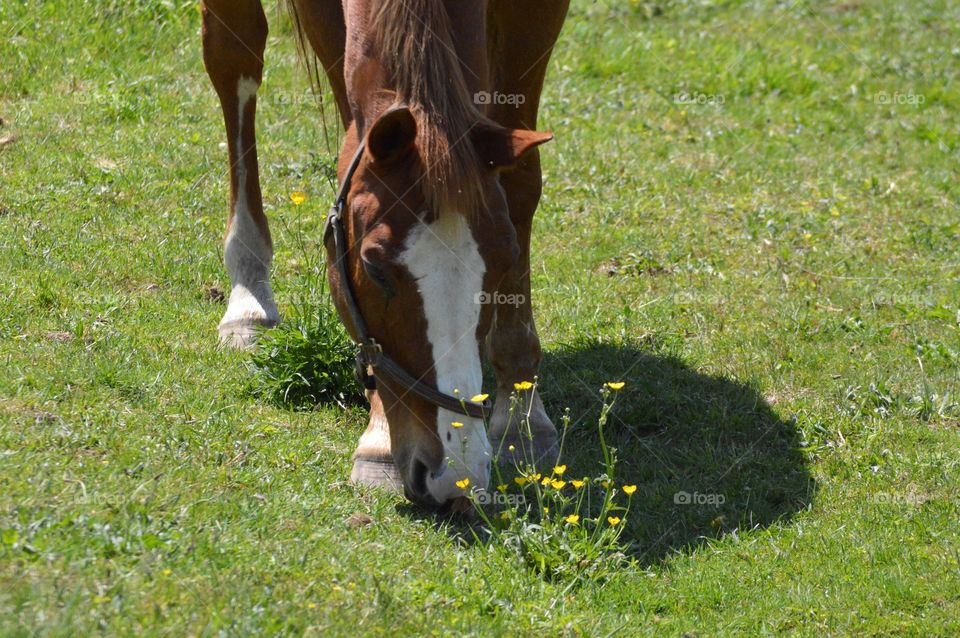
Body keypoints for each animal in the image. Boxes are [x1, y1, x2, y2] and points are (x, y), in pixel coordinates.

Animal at [198, 0, 568, 510]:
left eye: (507, 258)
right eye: (374, 270)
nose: (455, 474)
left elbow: (519, 182)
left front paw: (521, 411)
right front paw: (378, 438)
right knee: (235, 57)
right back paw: (249, 296)